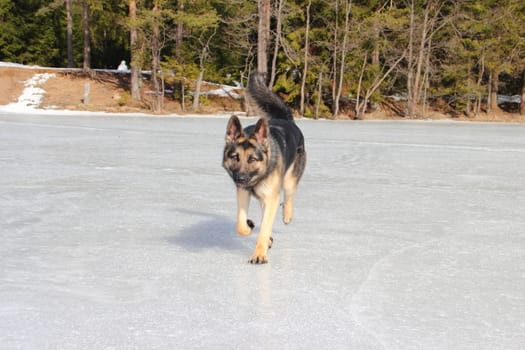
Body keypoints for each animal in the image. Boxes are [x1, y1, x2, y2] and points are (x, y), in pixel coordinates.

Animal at [222, 72, 304, 264]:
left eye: (252, 159)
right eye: (235, 157)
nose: (240, 179)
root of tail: (286, 119)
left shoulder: (271, 197)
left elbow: (265, 228)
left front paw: (259, 254)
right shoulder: (243, 193)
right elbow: (240, 224)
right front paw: (249, 225)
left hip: (288, 181)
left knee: (289, 196)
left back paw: (287, 215)